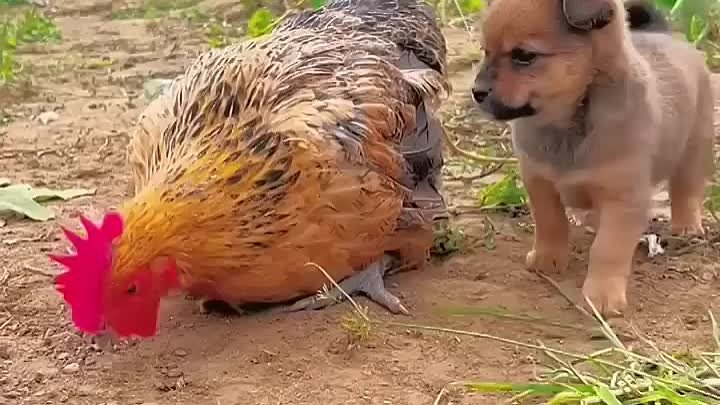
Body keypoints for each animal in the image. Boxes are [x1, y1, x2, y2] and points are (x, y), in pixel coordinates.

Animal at [472, 0, 716, 316]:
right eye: (485, 51)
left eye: (524, 56)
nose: (476, 92)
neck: (568, 123)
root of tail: (664, 35)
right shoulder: (539, 183)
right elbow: (549, 223)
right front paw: (548, 259)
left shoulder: (624, 200)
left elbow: (607, 249)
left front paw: (602, 295)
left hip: (694, 149)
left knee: (686, 191)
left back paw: (686, 226)